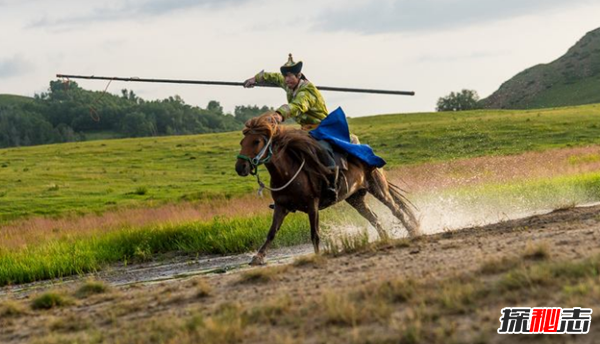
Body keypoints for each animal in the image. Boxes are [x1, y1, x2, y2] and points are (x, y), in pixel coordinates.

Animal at [234, 113, 418, 266]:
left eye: (256, 141)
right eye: (242, 142)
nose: (240, 167)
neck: (287, 172)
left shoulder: (312, 205)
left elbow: (314, 233)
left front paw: (317, 255)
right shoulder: (281, 206)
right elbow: (272, 232)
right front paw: (257, 257)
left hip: (378, 188)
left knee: (396, 209)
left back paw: (413, 231)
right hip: (355, 199)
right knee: (374, 218)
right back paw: (385, 238)